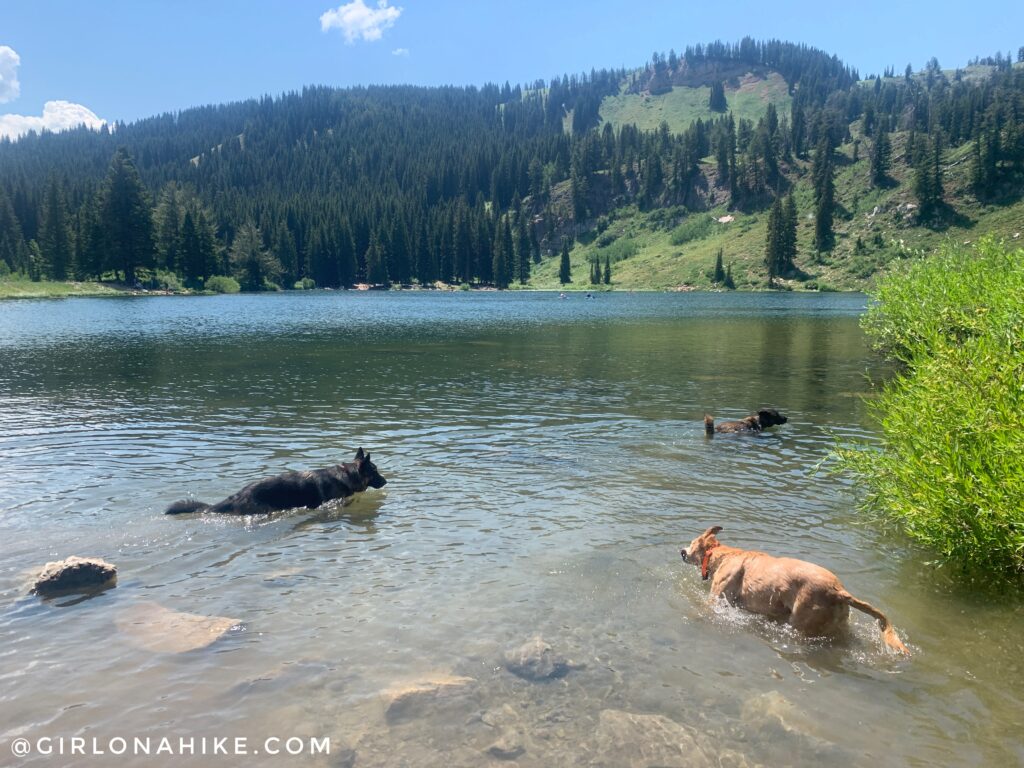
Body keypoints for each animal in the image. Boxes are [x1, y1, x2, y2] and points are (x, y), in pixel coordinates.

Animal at [684, 528, 909, 655]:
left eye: (692, 542)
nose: (681, 551)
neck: (722, 554)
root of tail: (838, 591)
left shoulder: (717, 598)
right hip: (838, 624)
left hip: (802, 620)